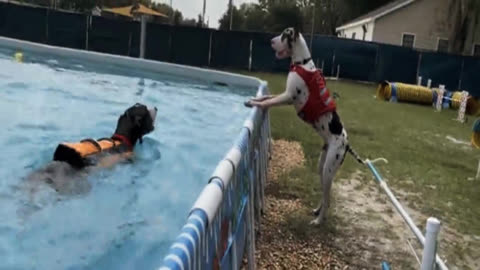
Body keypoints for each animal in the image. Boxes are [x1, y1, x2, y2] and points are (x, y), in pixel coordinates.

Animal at [246, 26, 362, 226]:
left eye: (283, 35)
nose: (270, 41)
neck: (302, 63)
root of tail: (347, 144)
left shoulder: (287, 97)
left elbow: (268, 102)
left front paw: (256, 104)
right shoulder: (284, 95)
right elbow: (267, 97)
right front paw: (254, 99)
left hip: (329, 169)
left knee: (328, 198)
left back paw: (319, 220)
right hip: (322, 167)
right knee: (326, 196)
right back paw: (317, 210)